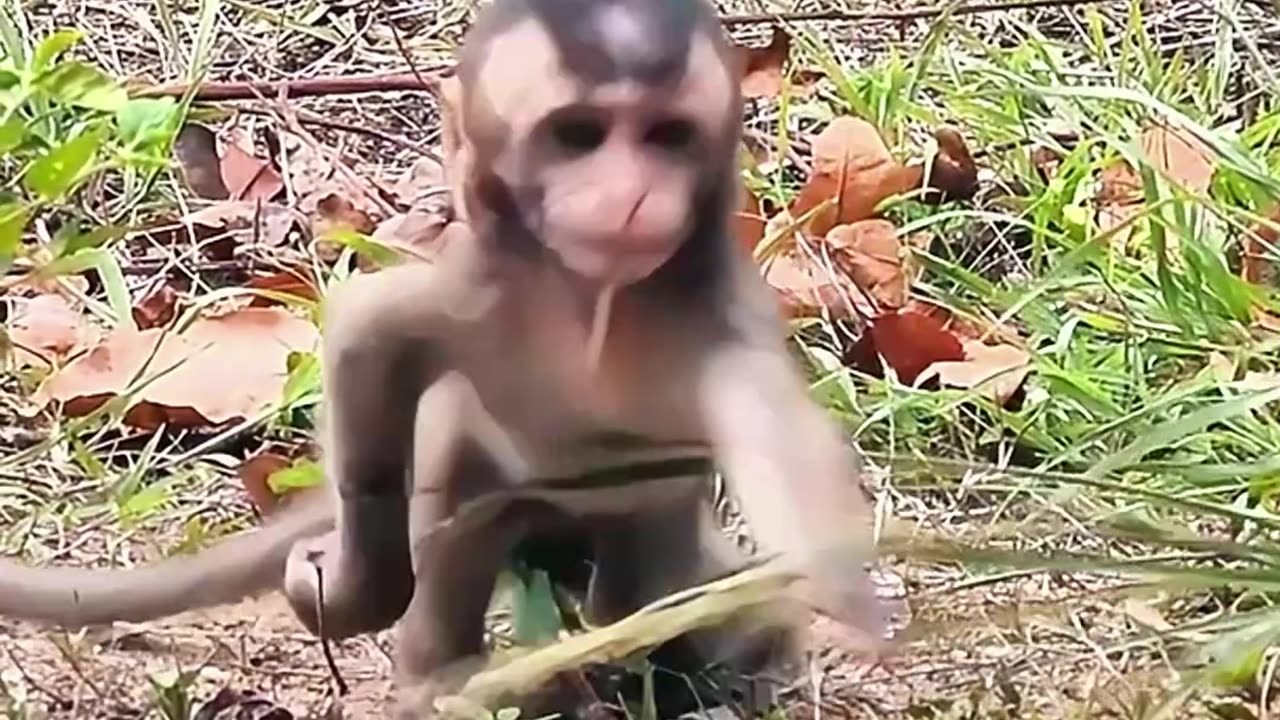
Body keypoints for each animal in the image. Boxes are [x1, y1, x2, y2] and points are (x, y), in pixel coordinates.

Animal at [0, 1, 890, 712]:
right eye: (579, 135)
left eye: (668, 137)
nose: (634, 196)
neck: (590, 304)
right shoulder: (475, 295)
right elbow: (369, 343)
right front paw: (359, 587)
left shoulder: (716, 331)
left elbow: (787, 469)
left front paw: (847, 603)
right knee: (469, 500)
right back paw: (451, 674)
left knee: (641, 573)